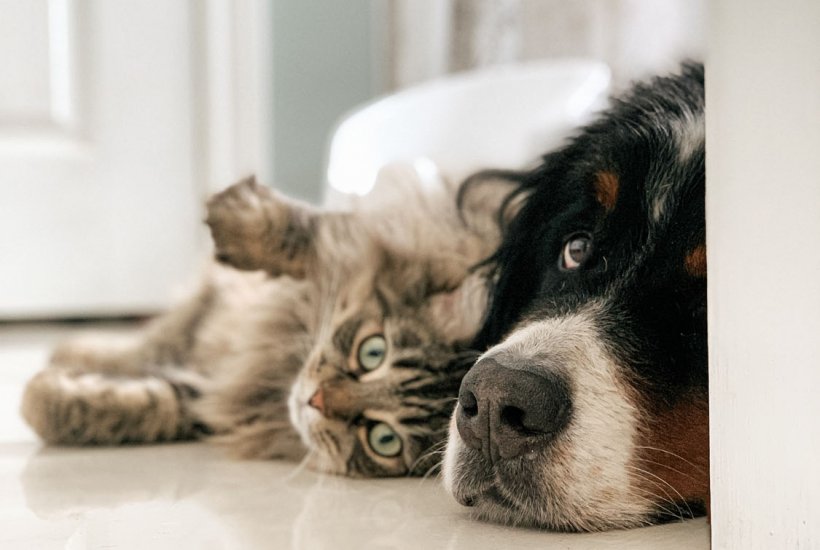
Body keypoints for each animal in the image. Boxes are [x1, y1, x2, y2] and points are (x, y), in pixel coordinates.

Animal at [20, 164, 506, 478]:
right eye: (373, 352)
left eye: (383, 439)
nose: (315, 401)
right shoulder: (376, 239)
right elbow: (307, 233)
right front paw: (235, 216)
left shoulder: (213, 399)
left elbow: (147, 404)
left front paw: (39, 398)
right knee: (148, 342)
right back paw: (71, 348)